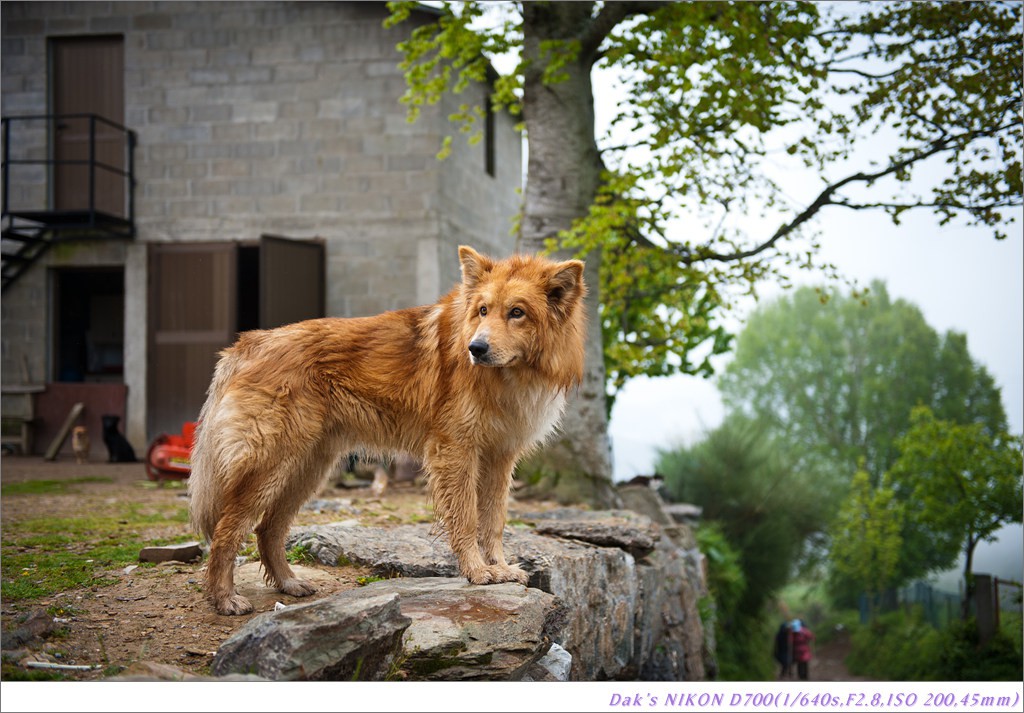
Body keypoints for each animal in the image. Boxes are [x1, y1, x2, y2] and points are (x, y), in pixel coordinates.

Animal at [186, 246, 585, 614]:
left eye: (517, 312)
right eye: (483, 311)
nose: (476, 348)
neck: (509, 377)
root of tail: (250, 343)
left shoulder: (499, 457)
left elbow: (494, 521)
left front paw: (499, 568)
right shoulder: (456, 451)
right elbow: (467, 519)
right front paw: (476, 571)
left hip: (306, 469)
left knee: (268, 529)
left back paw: (288, 583)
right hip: (271, 465)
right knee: (227, 530)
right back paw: (223, 598)